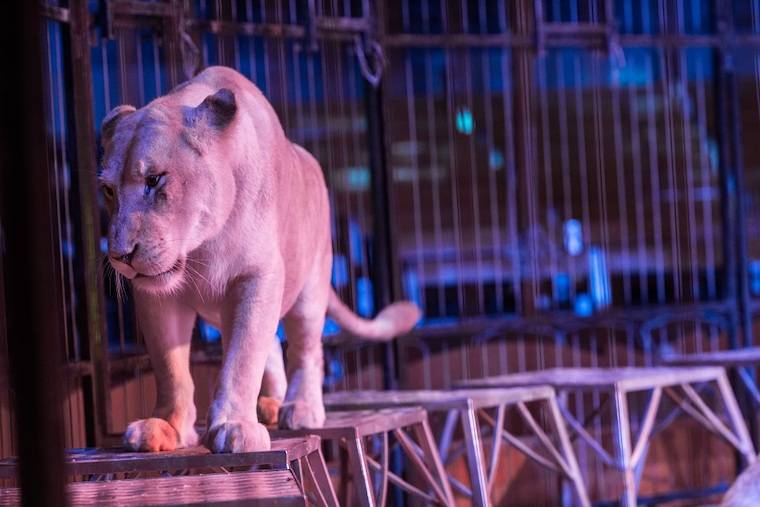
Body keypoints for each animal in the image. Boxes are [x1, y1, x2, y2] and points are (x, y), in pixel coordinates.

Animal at [99, 66, 420, 453]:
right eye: (108, 190)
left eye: (154, 180)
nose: (120, 255)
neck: (200, 247)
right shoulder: (157, 297)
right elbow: (170, 368)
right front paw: (165, 427)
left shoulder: (258, 278)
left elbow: (242, 360)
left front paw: (235, 426)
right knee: (274, 353)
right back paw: (270, 406)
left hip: (310, 287)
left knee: (305, 350)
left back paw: (300, 409)